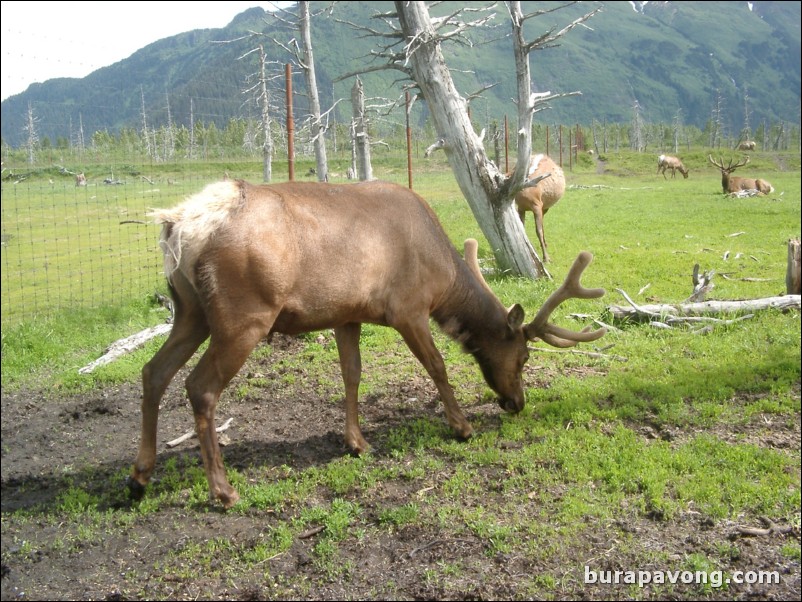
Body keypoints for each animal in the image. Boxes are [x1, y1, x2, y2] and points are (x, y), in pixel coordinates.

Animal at [130, 178, 608, 506]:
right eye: (524, 356)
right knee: (199, 387)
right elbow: (438, 366)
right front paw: (462, 426)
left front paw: (356, 442)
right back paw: (223, 489)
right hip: (244, 315)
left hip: (190, 311)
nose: (517, 403)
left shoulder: (348, 315)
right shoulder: (408, 309)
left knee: (153, 371)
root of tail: (179, 226)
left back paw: (139, 476)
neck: (444, 280)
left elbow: (352, 374)